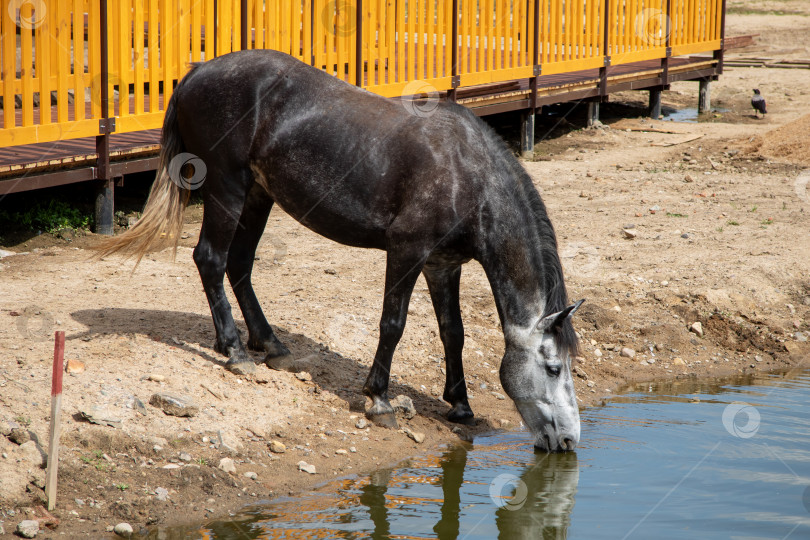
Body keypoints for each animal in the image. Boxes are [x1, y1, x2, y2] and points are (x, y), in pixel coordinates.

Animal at [99, 50, 580, 450]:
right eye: (554, 368)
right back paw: (235, 351)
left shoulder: (443, 266)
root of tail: (196, 72)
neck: (466, 173)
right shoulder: (406, 252)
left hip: (258, 194)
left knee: (239, 264)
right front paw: (379, 398)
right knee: (211, 260)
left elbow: (453, 332)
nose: (569, 440)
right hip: (227, 187)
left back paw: (267, 343)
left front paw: (460, 405)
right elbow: (393, 324)